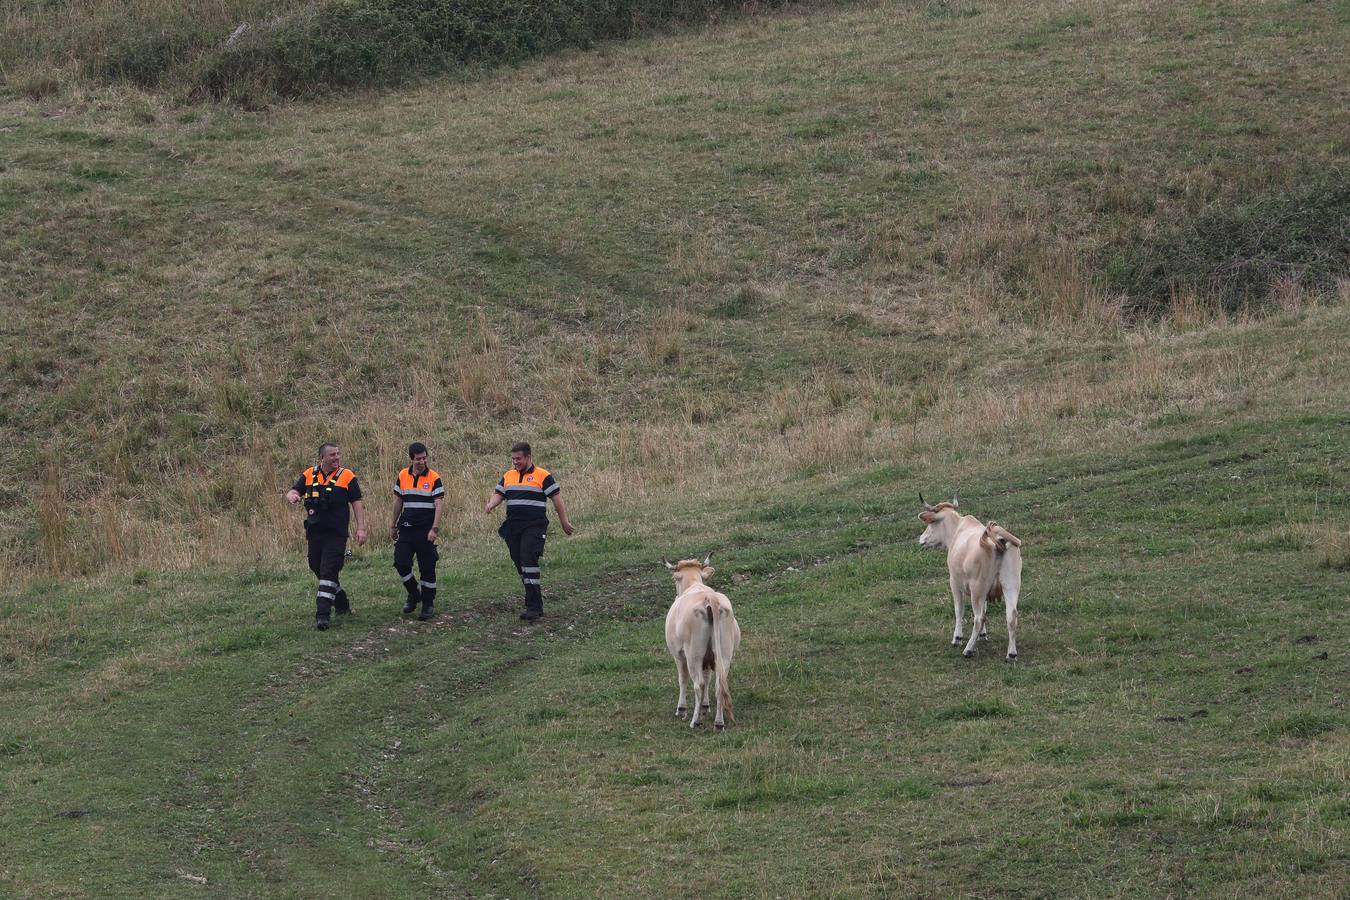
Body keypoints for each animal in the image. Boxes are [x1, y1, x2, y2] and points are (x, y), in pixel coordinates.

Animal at [661, 553, 739, 728]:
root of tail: (709, 598)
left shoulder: (678, 655)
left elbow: (683, 680)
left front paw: (681, 709)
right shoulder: (708, 658)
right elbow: (708, 678)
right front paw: (705, 706)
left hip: (693, 654)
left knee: (698, 684)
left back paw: (695, 721)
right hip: (724, 653)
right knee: (719, 684)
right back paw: (719, 722)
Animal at [918, 493, 1020, 661]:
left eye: (931, 524)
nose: (921, 539)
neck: (958, 530)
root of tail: (996, 539)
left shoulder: (954, 582)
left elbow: (959, 610)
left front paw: (957, 638)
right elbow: (985, 608)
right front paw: (983, 635)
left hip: (977, 587)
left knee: (979, 618)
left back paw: (968, 649)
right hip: (1011, 584)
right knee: (1011, 616)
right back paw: (1011, 653)